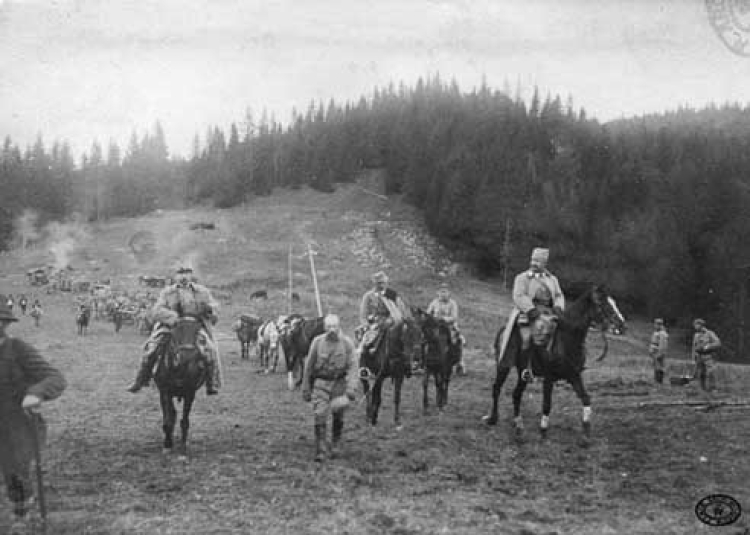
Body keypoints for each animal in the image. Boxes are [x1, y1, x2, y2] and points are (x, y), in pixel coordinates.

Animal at [153, 316, 210, 458]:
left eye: (197, 331)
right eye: (175, 332)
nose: (187, 357)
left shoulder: (190, 393)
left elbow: (185, 421)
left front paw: (183, 447)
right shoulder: (165, 392)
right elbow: (168, 420)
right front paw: (167, 445)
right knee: (170, 414)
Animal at [484, 286, 624, 446]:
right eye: (601, 303)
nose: (622, 325)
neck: (566, 339)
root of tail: (503, 329)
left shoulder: (574, 375)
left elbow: (586, 398)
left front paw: (586, 433)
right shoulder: (549, 378)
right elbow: (547, 404)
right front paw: (543, 432)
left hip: (522, 373)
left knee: (516, 394)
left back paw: (518, 426)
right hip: (503, 366)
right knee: (497, 388)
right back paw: (493, 418)